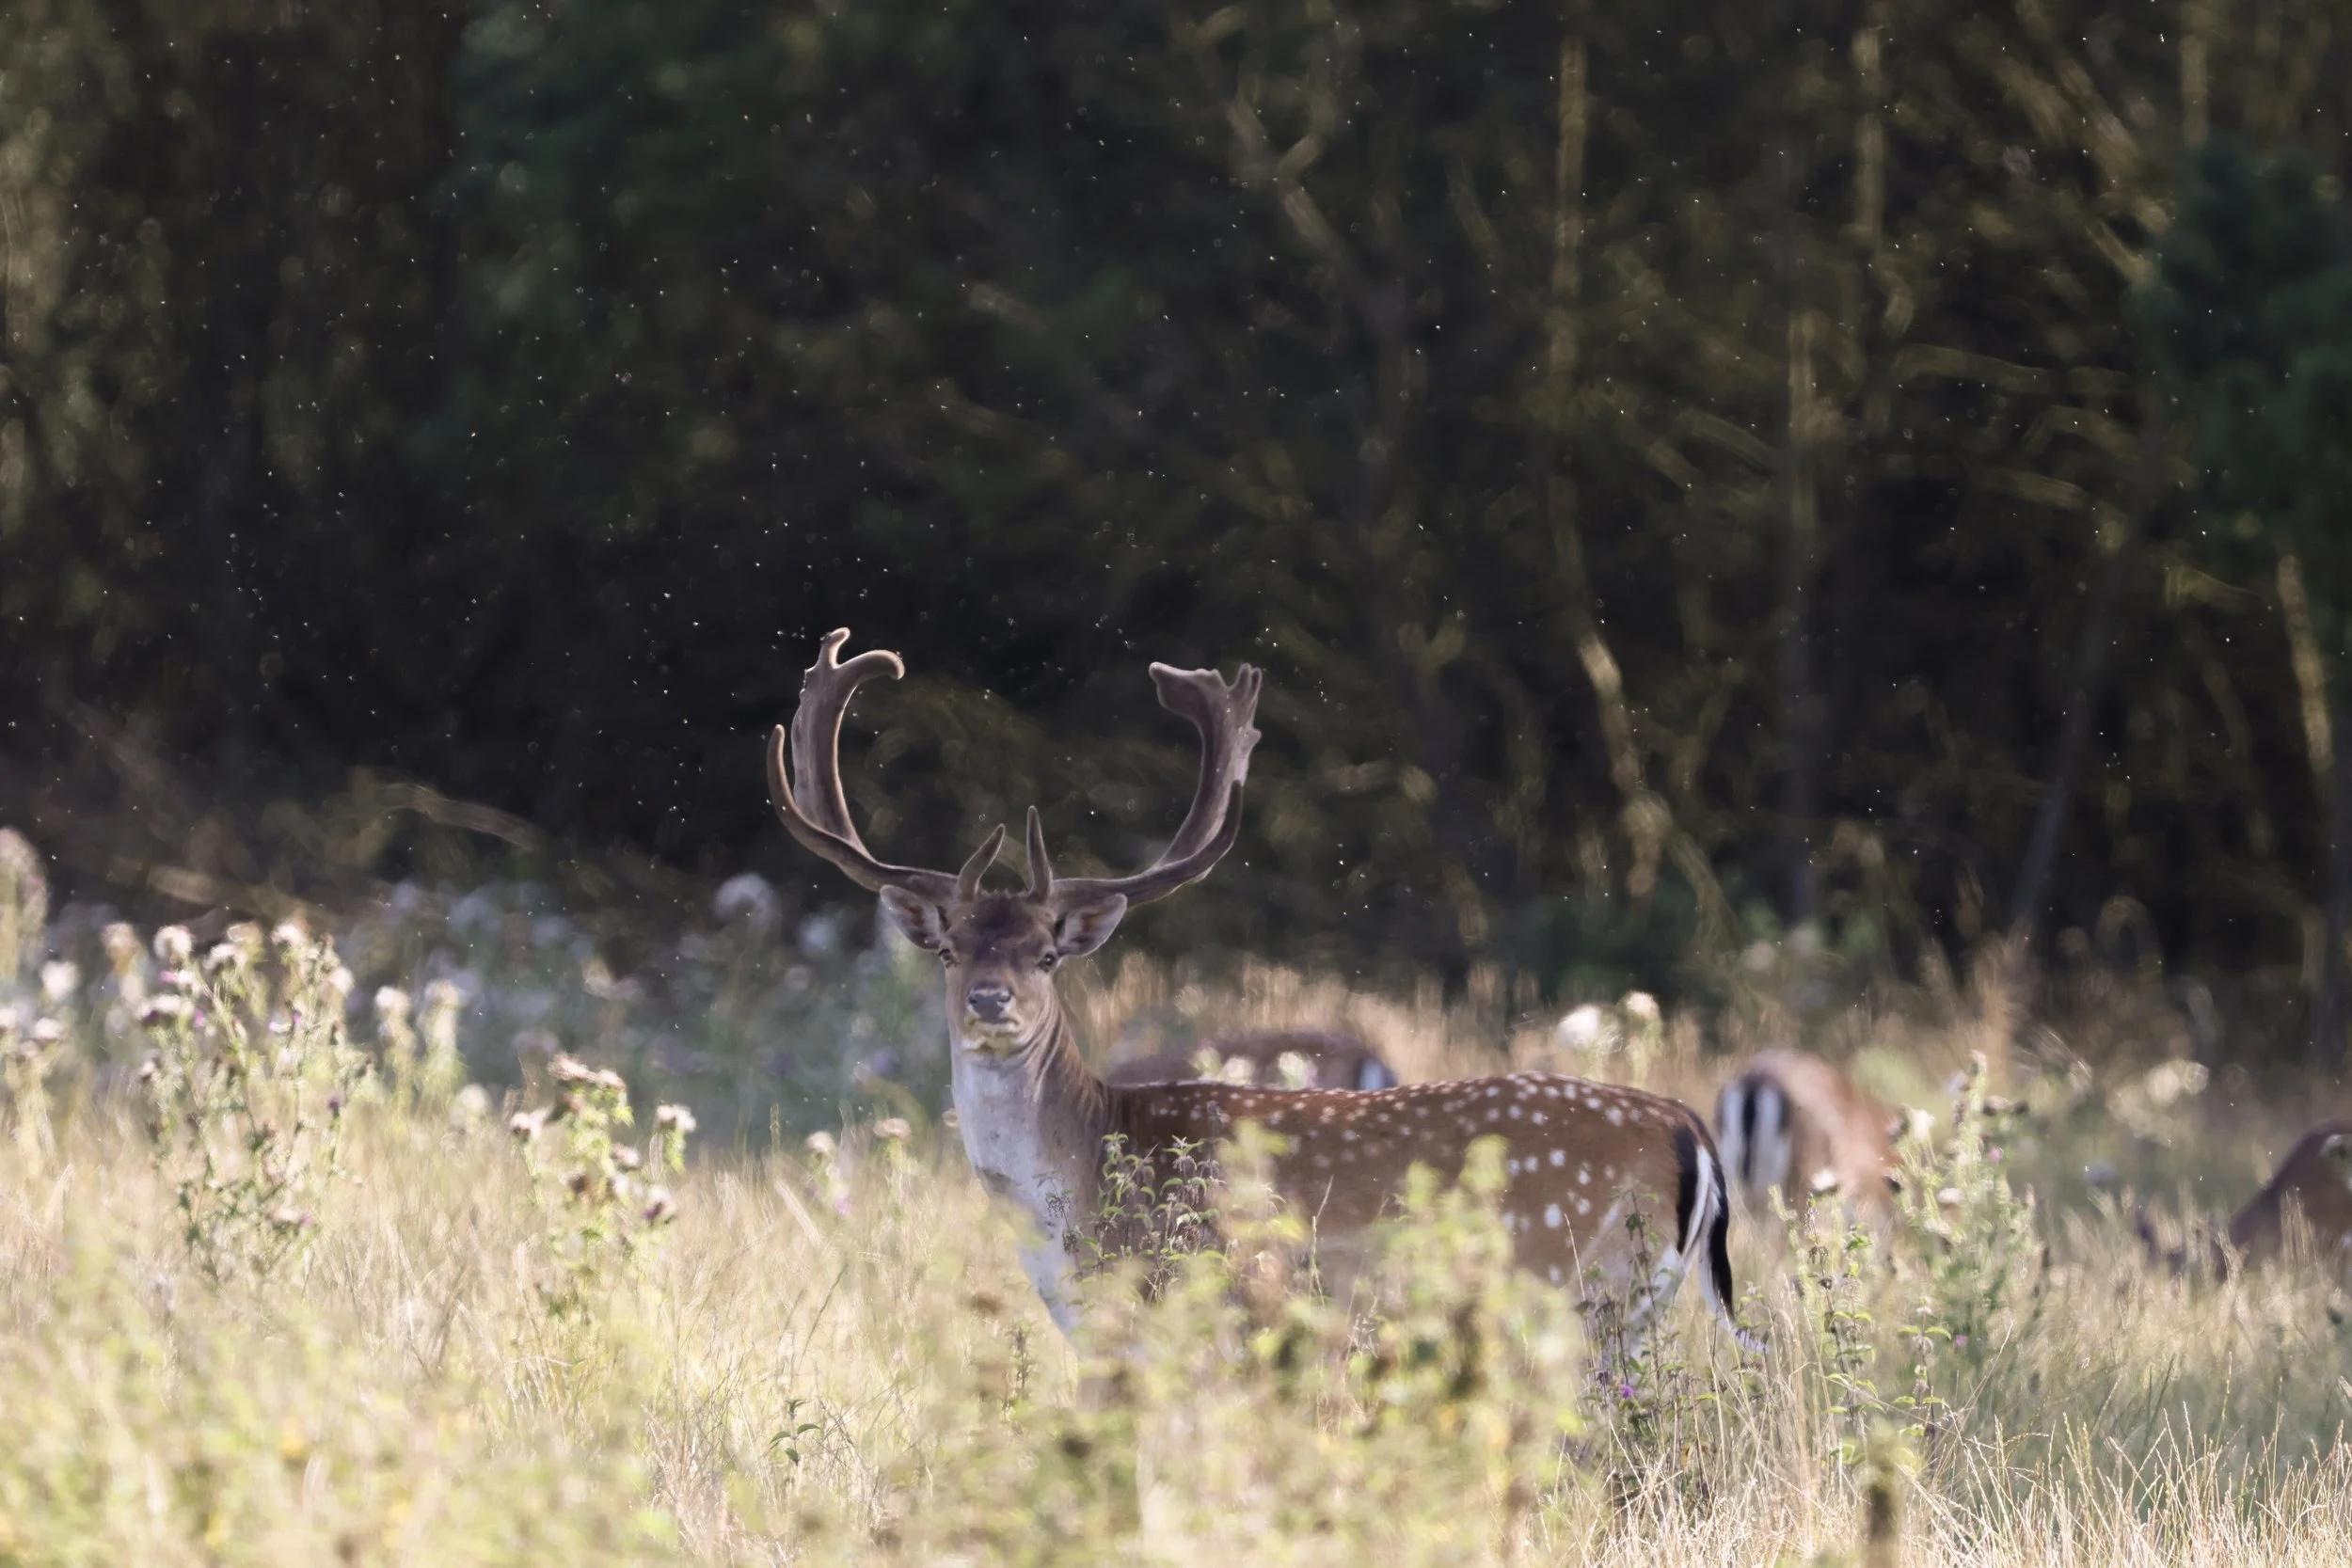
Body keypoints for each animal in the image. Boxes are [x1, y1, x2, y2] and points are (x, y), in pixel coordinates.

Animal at [768, 629, 1749, 1344]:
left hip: (1571, 1286)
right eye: (951, 950)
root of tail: (1689, 1128)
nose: (989, 1000)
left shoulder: (1229, 1302)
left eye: (1048, 953)